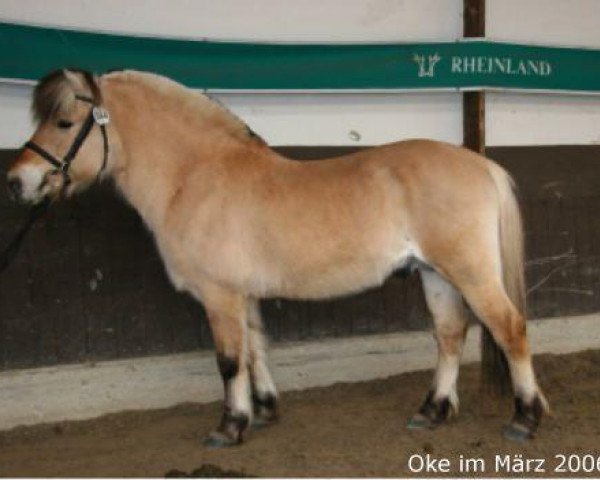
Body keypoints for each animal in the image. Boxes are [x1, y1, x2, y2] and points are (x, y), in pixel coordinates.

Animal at [5, 69, 548, 448]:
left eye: (64, 122)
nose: (16, 182)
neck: (196, 176)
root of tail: (480, 163)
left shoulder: (219, 295)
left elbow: (228, 361)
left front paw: (229, 427)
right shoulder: (240, 294)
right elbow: (255, 349)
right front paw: (263, 410)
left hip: (470, 272)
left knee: (510, 329)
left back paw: (525, 418)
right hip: (435, 274)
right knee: (450, 335)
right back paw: (432, 411)